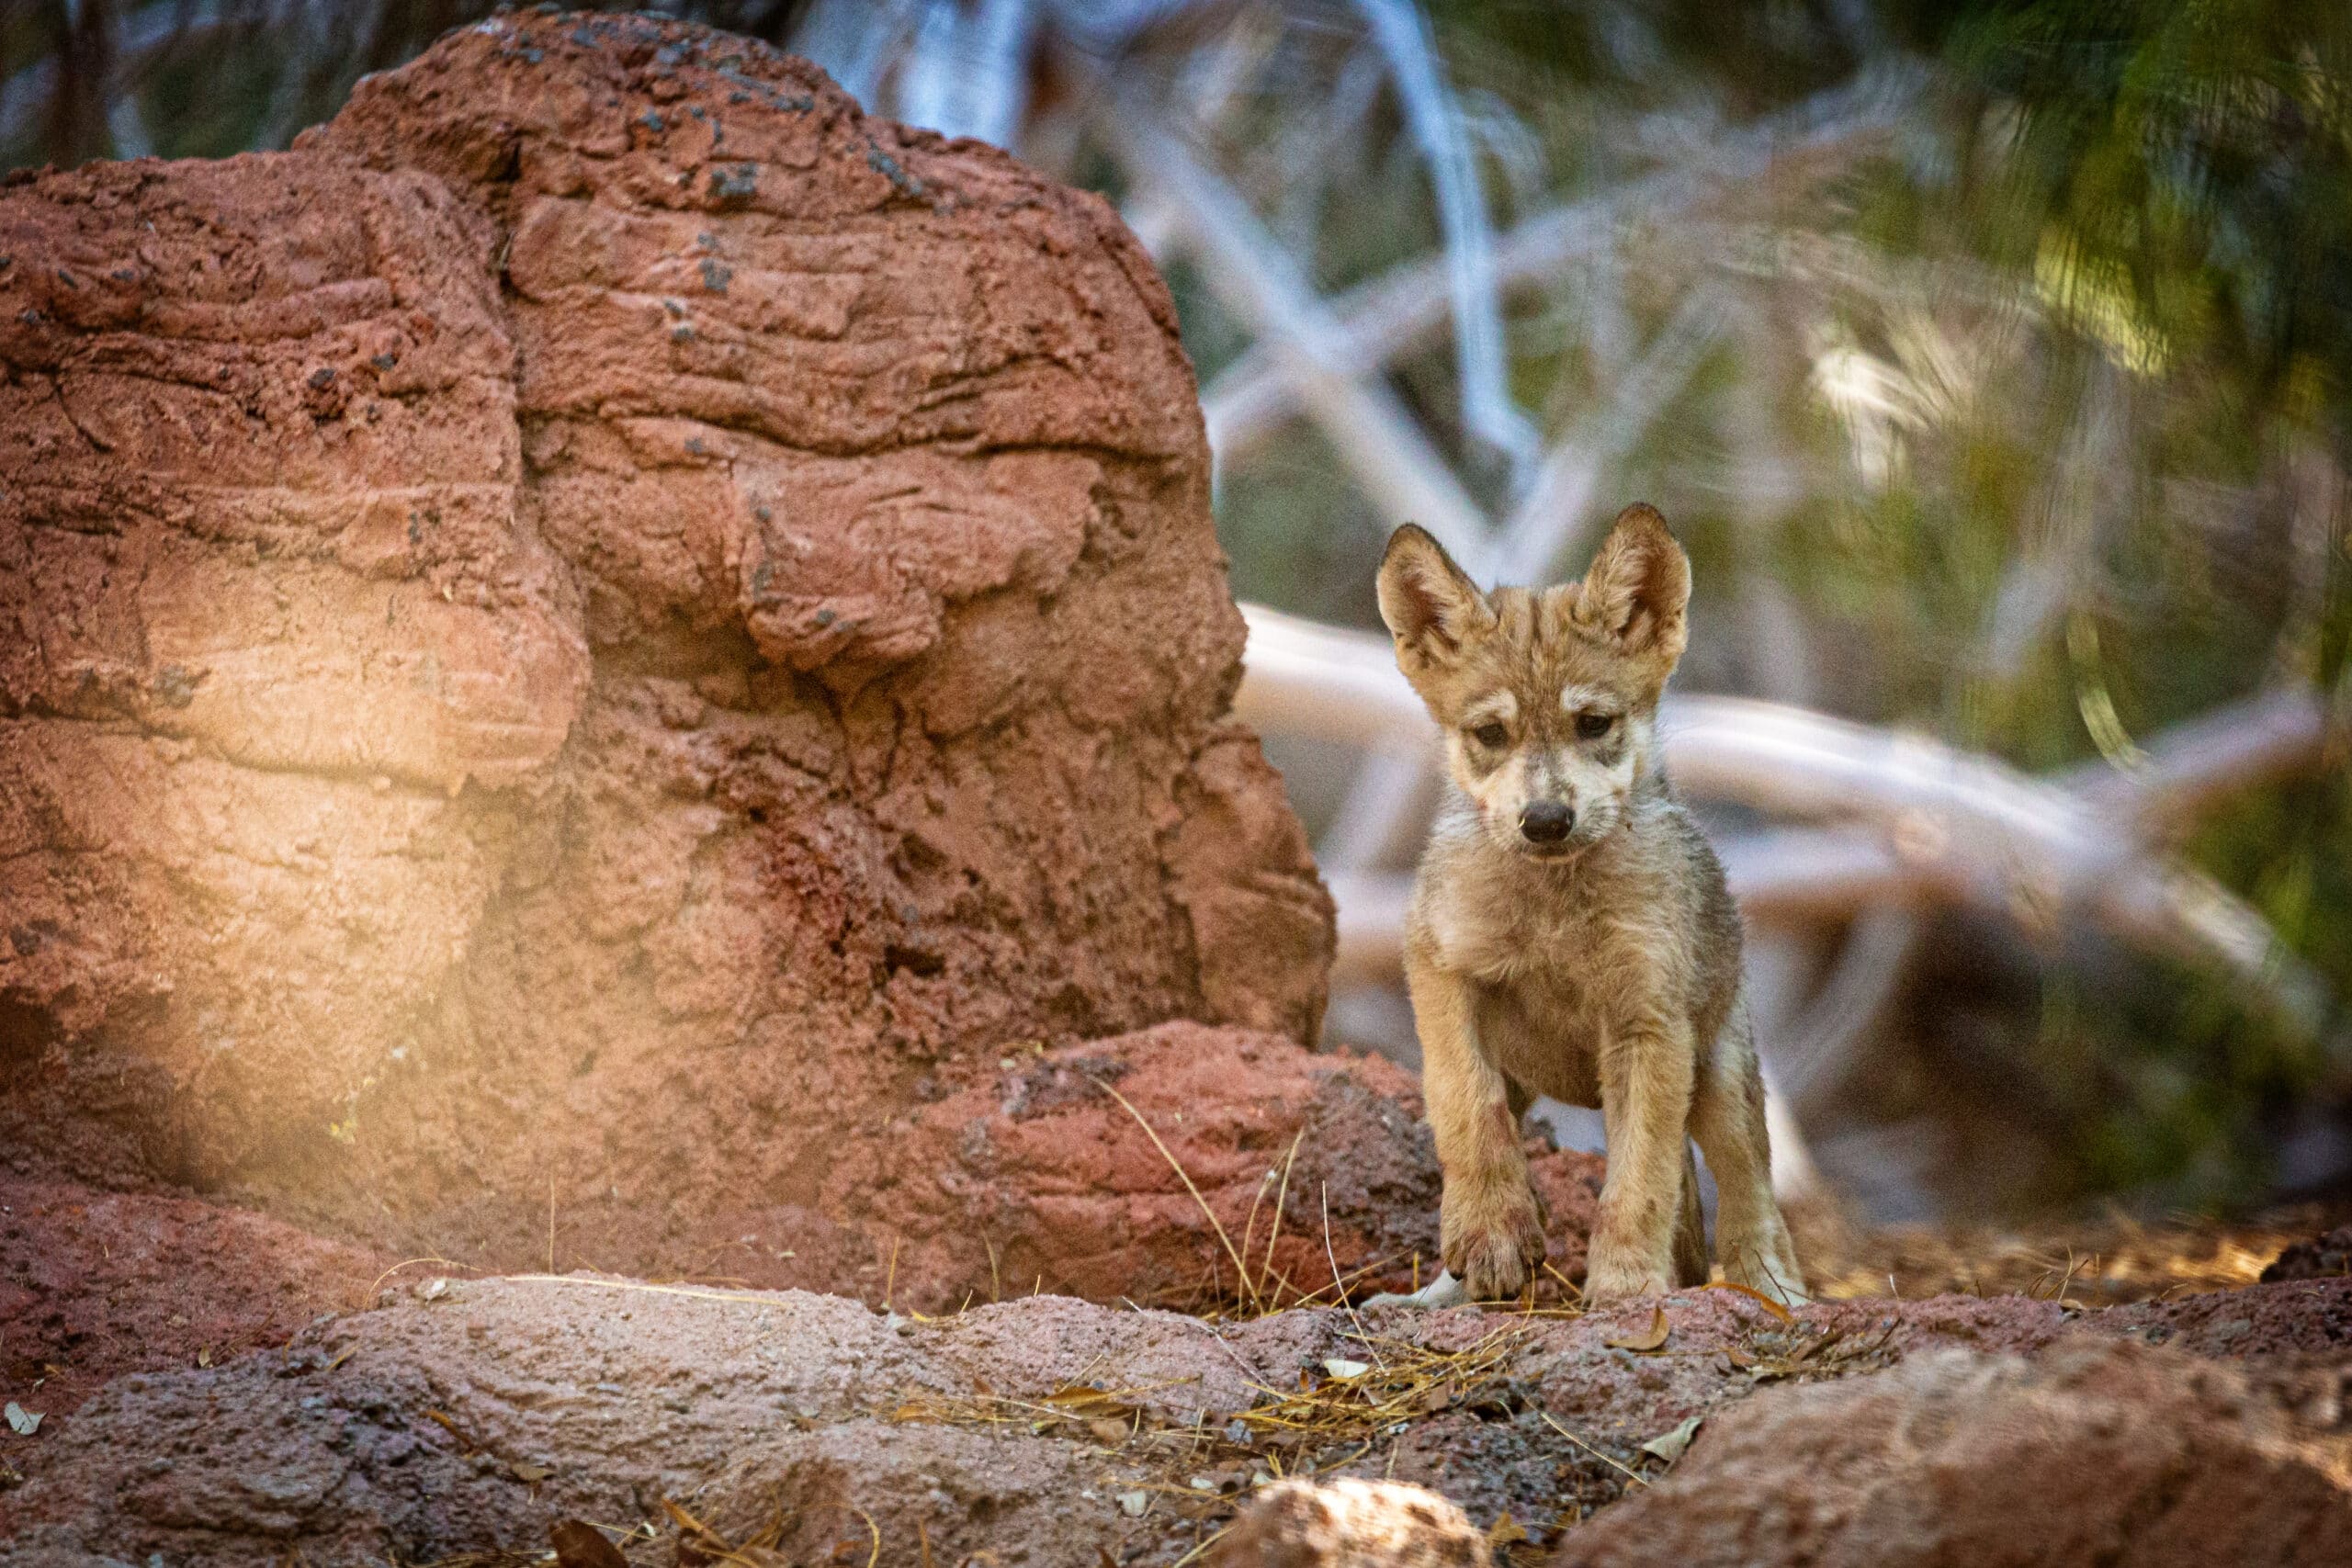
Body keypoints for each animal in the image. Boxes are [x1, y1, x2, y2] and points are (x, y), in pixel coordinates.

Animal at [1364, 504, 1807, 1308]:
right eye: (1490, 733)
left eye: (1594, 723)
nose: (1544, 820)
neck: (1553, 914)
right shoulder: (1441, 971)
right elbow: (1466, 1112)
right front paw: (1493, 1235)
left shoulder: (1647, 1024)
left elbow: (1638, 1183)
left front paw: (1628, 1287)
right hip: (1530, 1078)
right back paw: (1436, 1292)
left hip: (1720, 1079)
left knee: (1750, 1196)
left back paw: (1775, 1292)